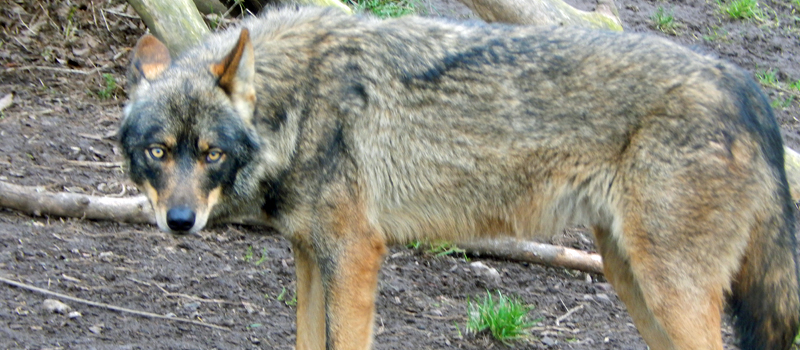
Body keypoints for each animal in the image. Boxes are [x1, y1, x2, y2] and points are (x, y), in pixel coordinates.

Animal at [119, 6, 800, 350]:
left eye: (210, 153)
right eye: (158, 152)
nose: (178, 222)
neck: (299, 104)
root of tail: (744, 84)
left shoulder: (356, 255)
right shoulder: (311, 256)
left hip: (668, 289)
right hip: (630, 277)